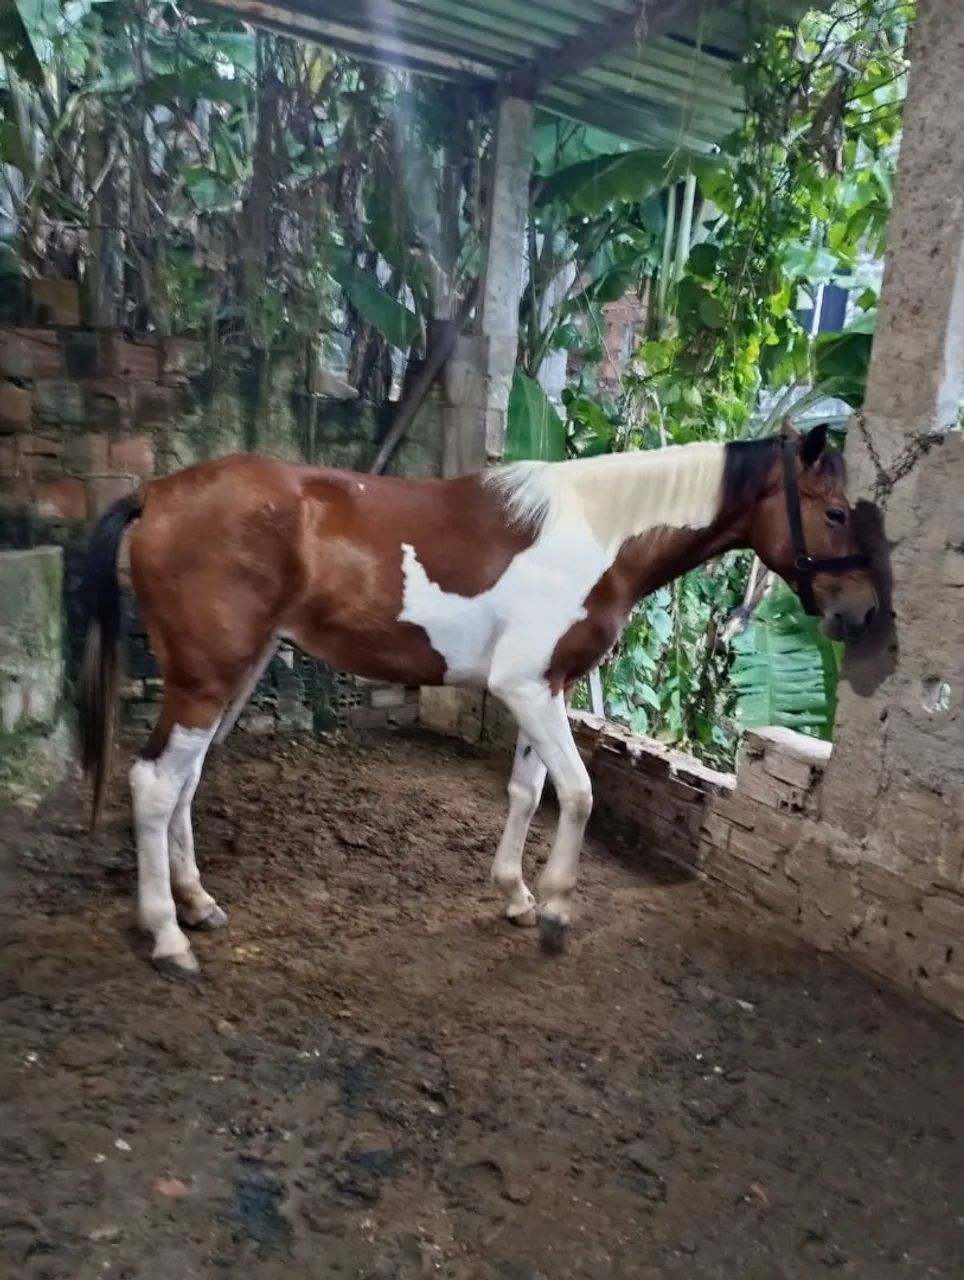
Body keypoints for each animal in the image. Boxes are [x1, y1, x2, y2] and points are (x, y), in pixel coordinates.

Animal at [76, 419, 877, 976]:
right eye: (836, 513)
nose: (862, 612)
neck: (603, 534)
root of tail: (155, 493)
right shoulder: (527, 688)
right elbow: (579, 793)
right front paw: (555, 911)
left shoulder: (542, 689)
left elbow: (529, 790)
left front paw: (516, 896)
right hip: (206, 678)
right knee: (154, 783)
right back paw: (168, 937)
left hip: (226, 675)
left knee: (185, 780)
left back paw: (198, 904)